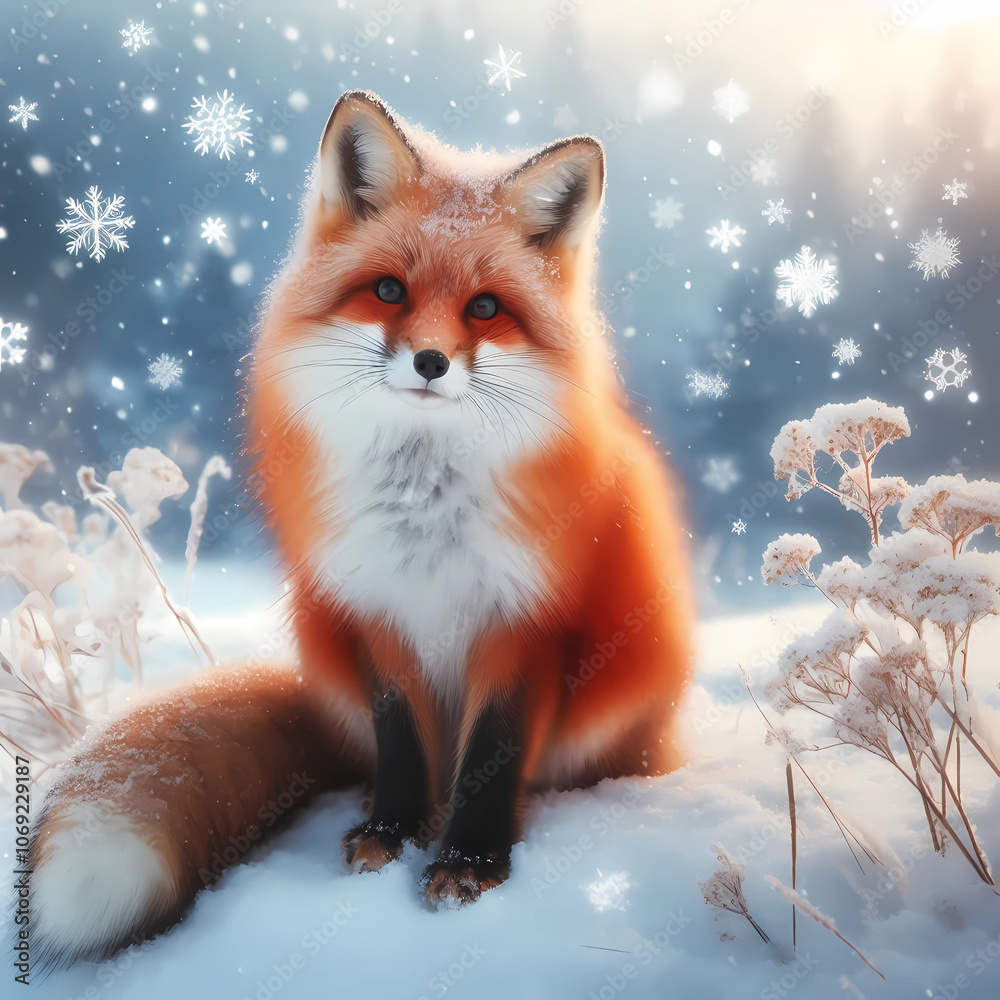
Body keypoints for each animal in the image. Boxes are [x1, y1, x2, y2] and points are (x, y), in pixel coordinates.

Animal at [25, 90, 694, 970]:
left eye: (486, 308)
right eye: (388, 291)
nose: (432, 362)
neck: (425, 509)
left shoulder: (525, 625)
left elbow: (492, 760)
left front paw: (469, 864)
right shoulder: (377, 612)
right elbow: (402, 745)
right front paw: (393, 835)